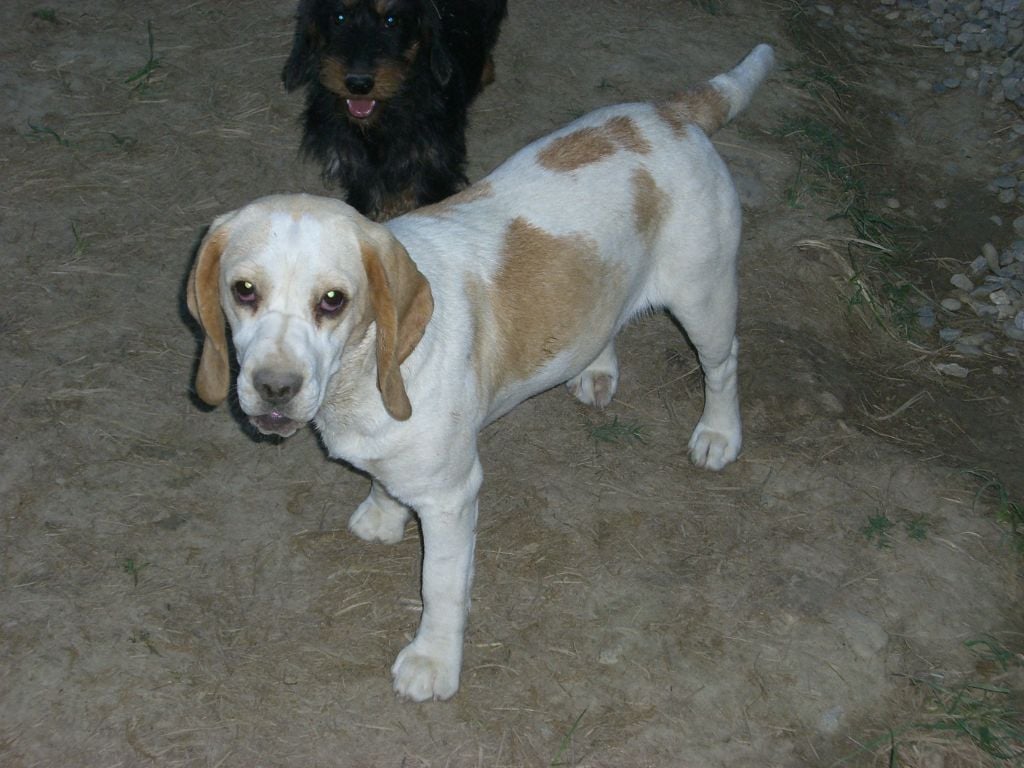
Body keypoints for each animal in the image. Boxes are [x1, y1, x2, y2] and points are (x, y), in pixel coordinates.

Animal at [189, 44, 774, 701]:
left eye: (333, 301)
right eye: (243, 290)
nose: (274, 388)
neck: (365, 378)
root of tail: (674, 112)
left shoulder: (452, 499)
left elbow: (441, 589)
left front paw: (433, 662)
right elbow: (385, 481)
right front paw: (382, 515)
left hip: (704, 302)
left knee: (724, 365)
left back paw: (719, 434)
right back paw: (595, 368)